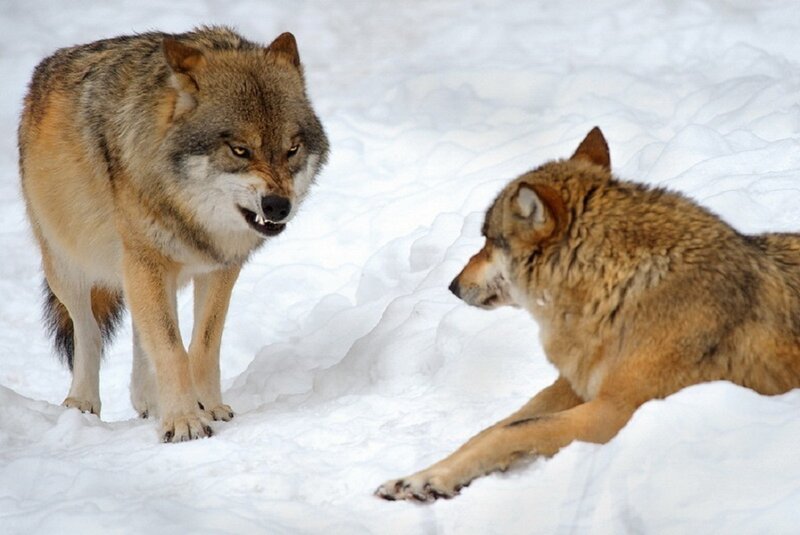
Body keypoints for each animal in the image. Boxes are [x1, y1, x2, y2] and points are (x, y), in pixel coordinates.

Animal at [18, 26, 329, 442]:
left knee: (140, 330)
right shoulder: (146, 262)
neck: (189, 212)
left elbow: (201, 346)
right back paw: (82, 402)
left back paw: (149, 399)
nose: (278, 206)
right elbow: (169, 347)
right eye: (240, 150)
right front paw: (183, 421)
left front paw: (207, 407)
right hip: (68, 264)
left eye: (292, 149)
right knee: (89, 331)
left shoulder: (219, 269)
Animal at [376, 127, 800, 500]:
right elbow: (489, 430)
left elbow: (511, 431)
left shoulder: (615, 412)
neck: (621, 289)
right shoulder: (572, 386)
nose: (451, 284)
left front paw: (431, 481)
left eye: (489, 241)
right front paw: (420, 478)